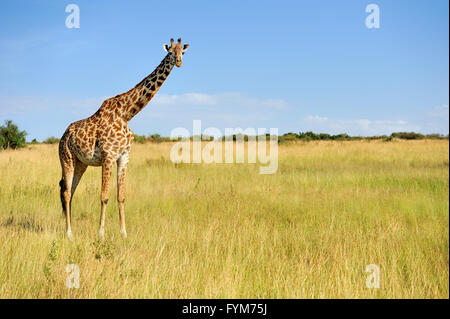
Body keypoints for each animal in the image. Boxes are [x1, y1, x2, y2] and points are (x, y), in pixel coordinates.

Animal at [57, 37, 188, 239]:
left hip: (81, 164)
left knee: (70, 191)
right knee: (65, 192)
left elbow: (121, 196)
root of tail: (63, 135)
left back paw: (71, 230)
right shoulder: (108, 156)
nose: (180, 62)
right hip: (67, 159)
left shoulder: (124, 156)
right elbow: (104, 196)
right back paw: (69, 233)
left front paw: (124, 232)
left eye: (183, 51)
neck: (127, 114)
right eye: (170, 52)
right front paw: (101, 234)